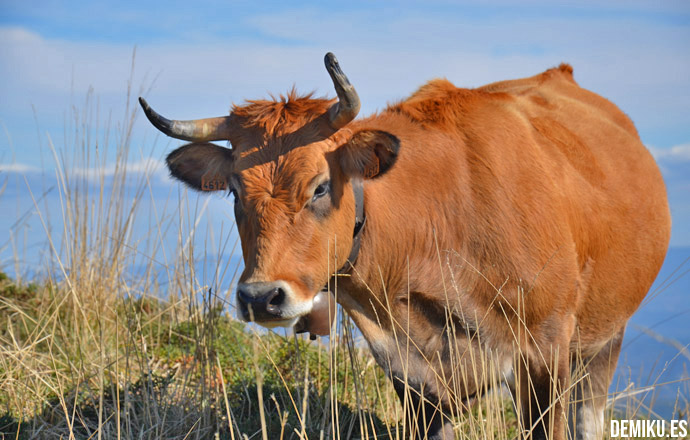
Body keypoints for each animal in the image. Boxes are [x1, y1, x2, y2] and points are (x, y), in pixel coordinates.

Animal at [137, 52, 668, 440]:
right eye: (232, 190)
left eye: (320, 187)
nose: (261, 298)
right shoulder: (411, 374)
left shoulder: (544, 352)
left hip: (603, 338)